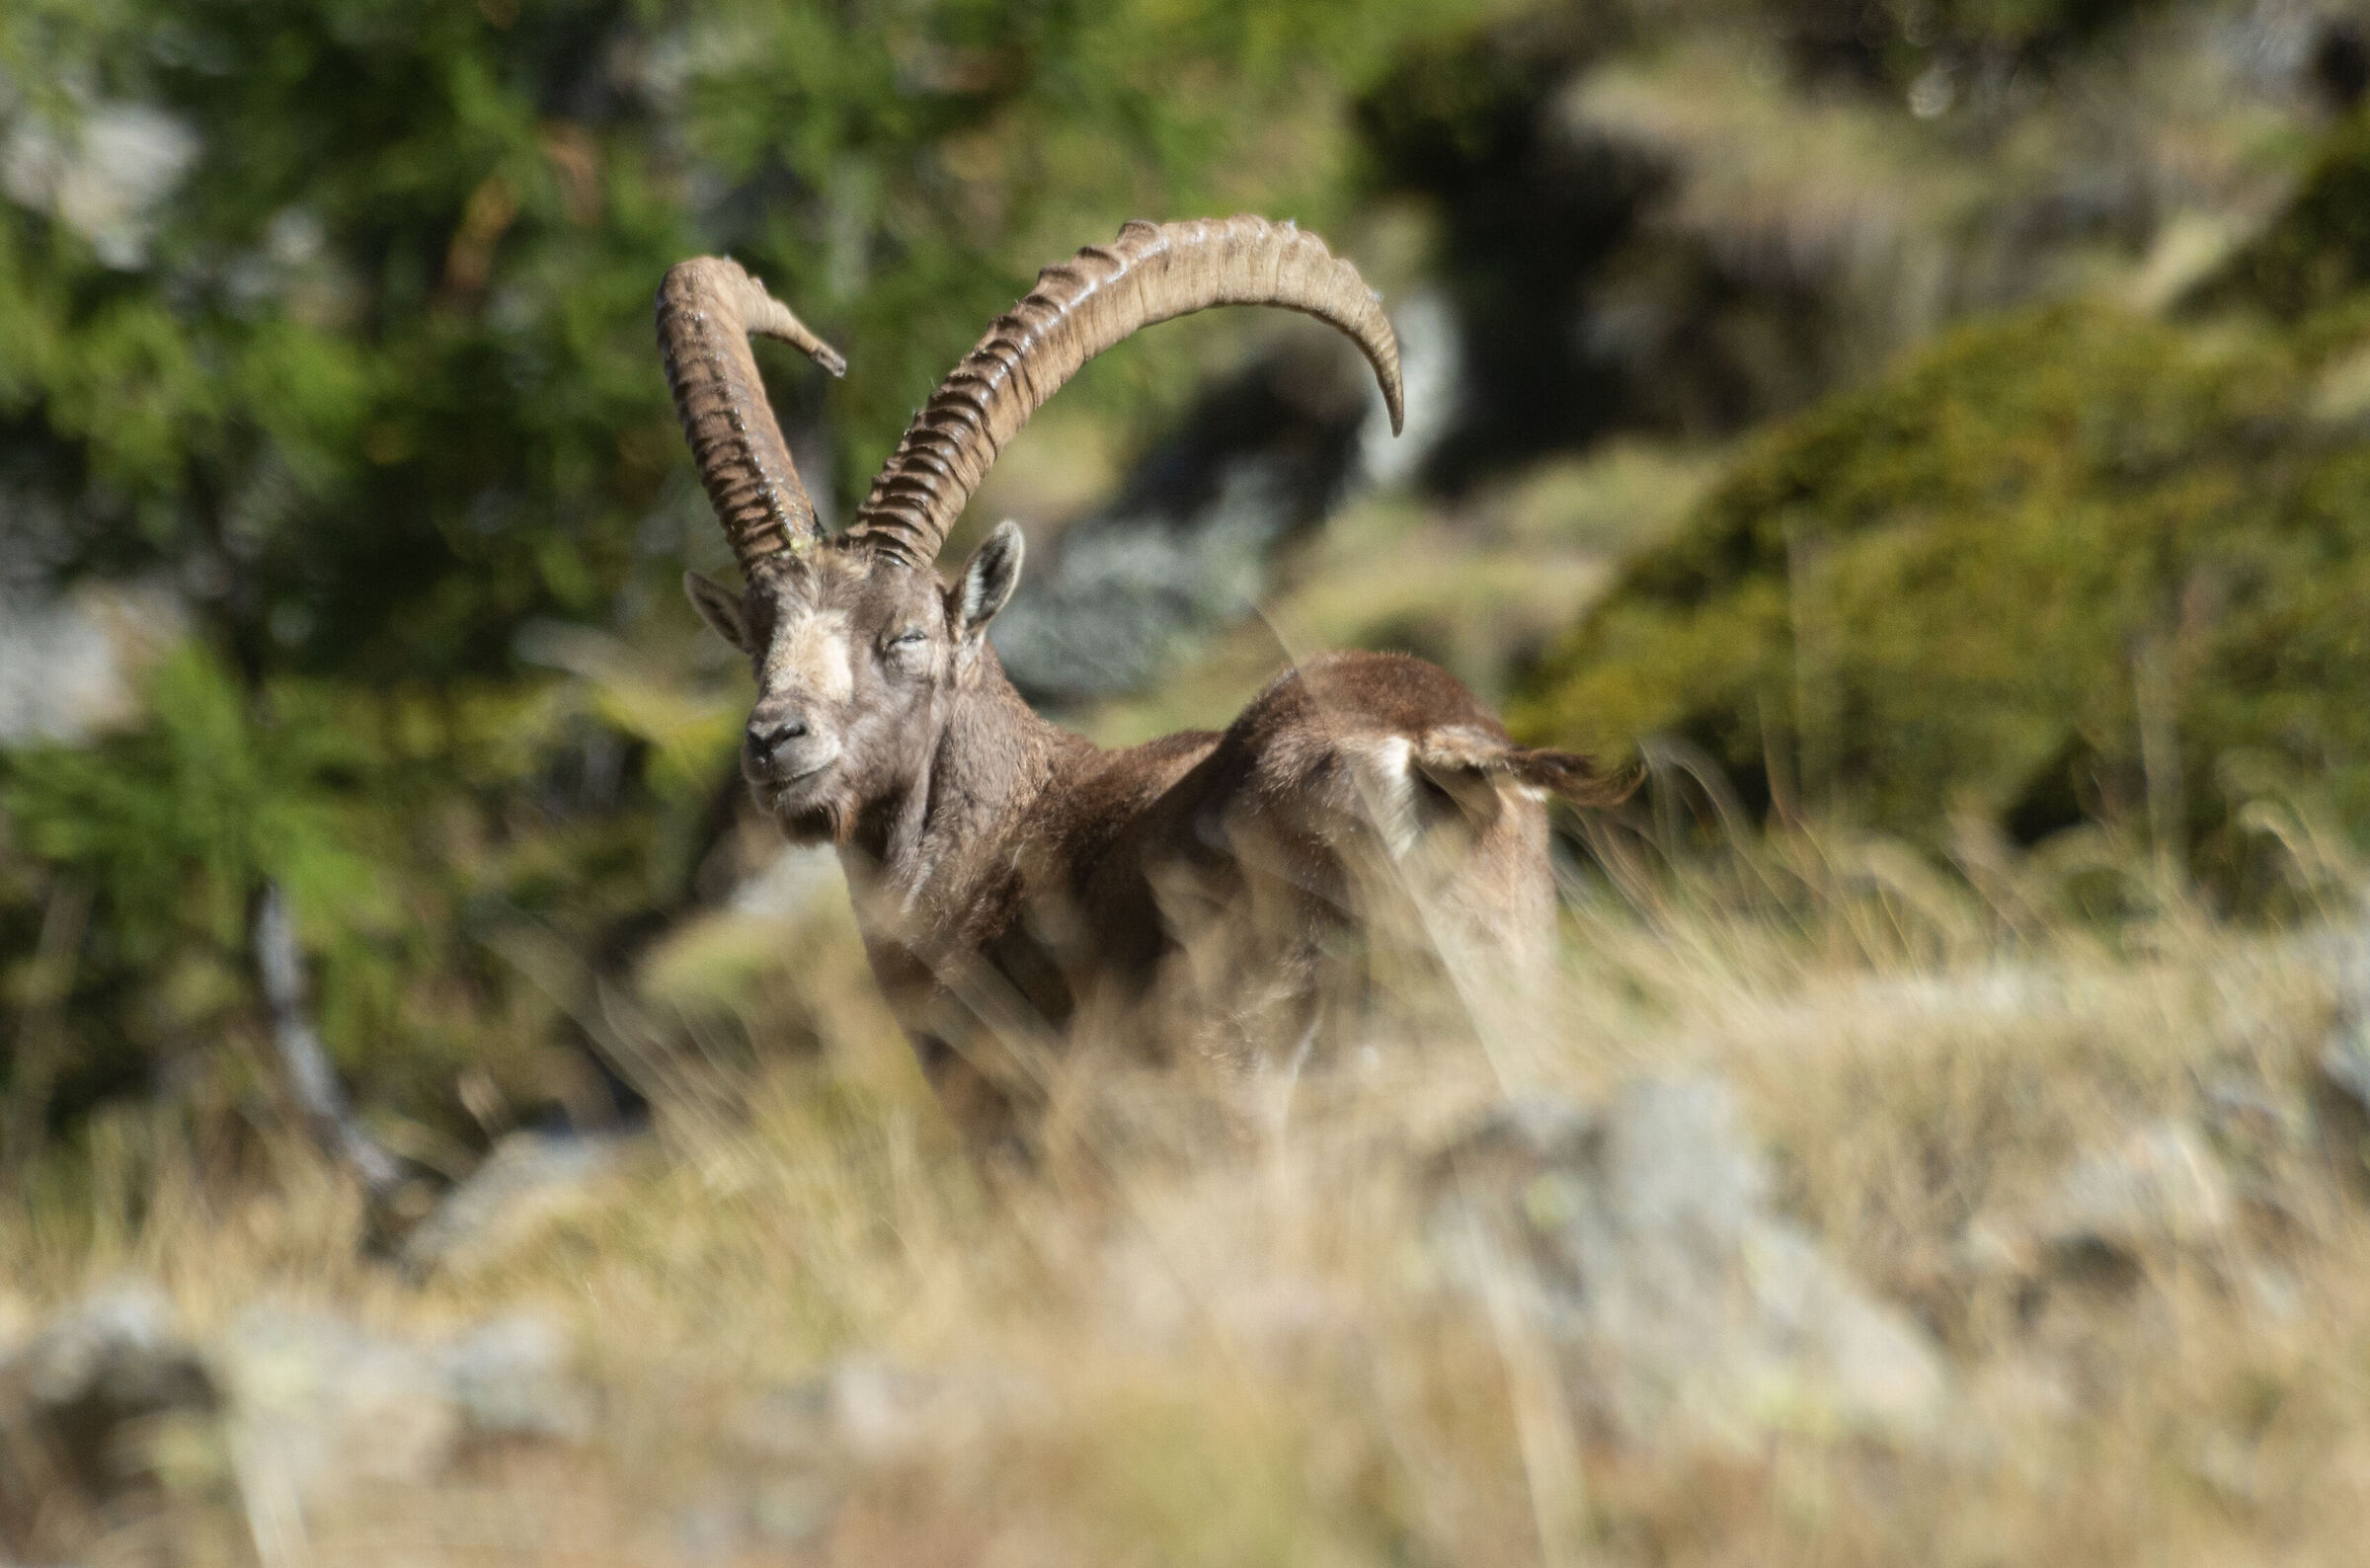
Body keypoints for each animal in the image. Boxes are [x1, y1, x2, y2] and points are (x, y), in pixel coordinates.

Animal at [659, 217, 1621, 1143]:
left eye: (906, 635)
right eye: (758, 641)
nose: (775, 741)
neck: (998, 835)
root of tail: (1425, 752)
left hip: (1255, 1068)